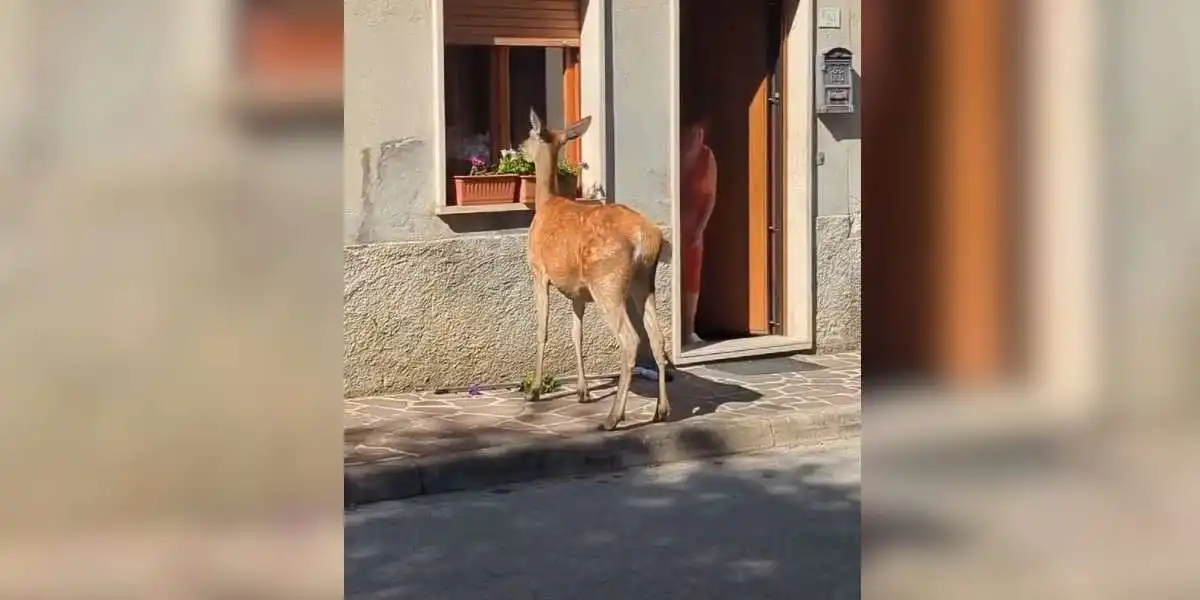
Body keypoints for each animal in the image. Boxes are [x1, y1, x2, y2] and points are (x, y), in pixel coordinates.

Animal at [523, 109, 672, 432]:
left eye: (528, 135)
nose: (518, 149)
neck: (546, 203)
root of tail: (646, 238)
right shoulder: (578, 291)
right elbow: (576, 334)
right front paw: (583, 392)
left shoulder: (539, 271)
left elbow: (542, 330)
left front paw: (535, 390)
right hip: (644, 282)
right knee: (657, 337)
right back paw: (661, 410)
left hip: (608, 282)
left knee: (630, 340)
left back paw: (613, 417)